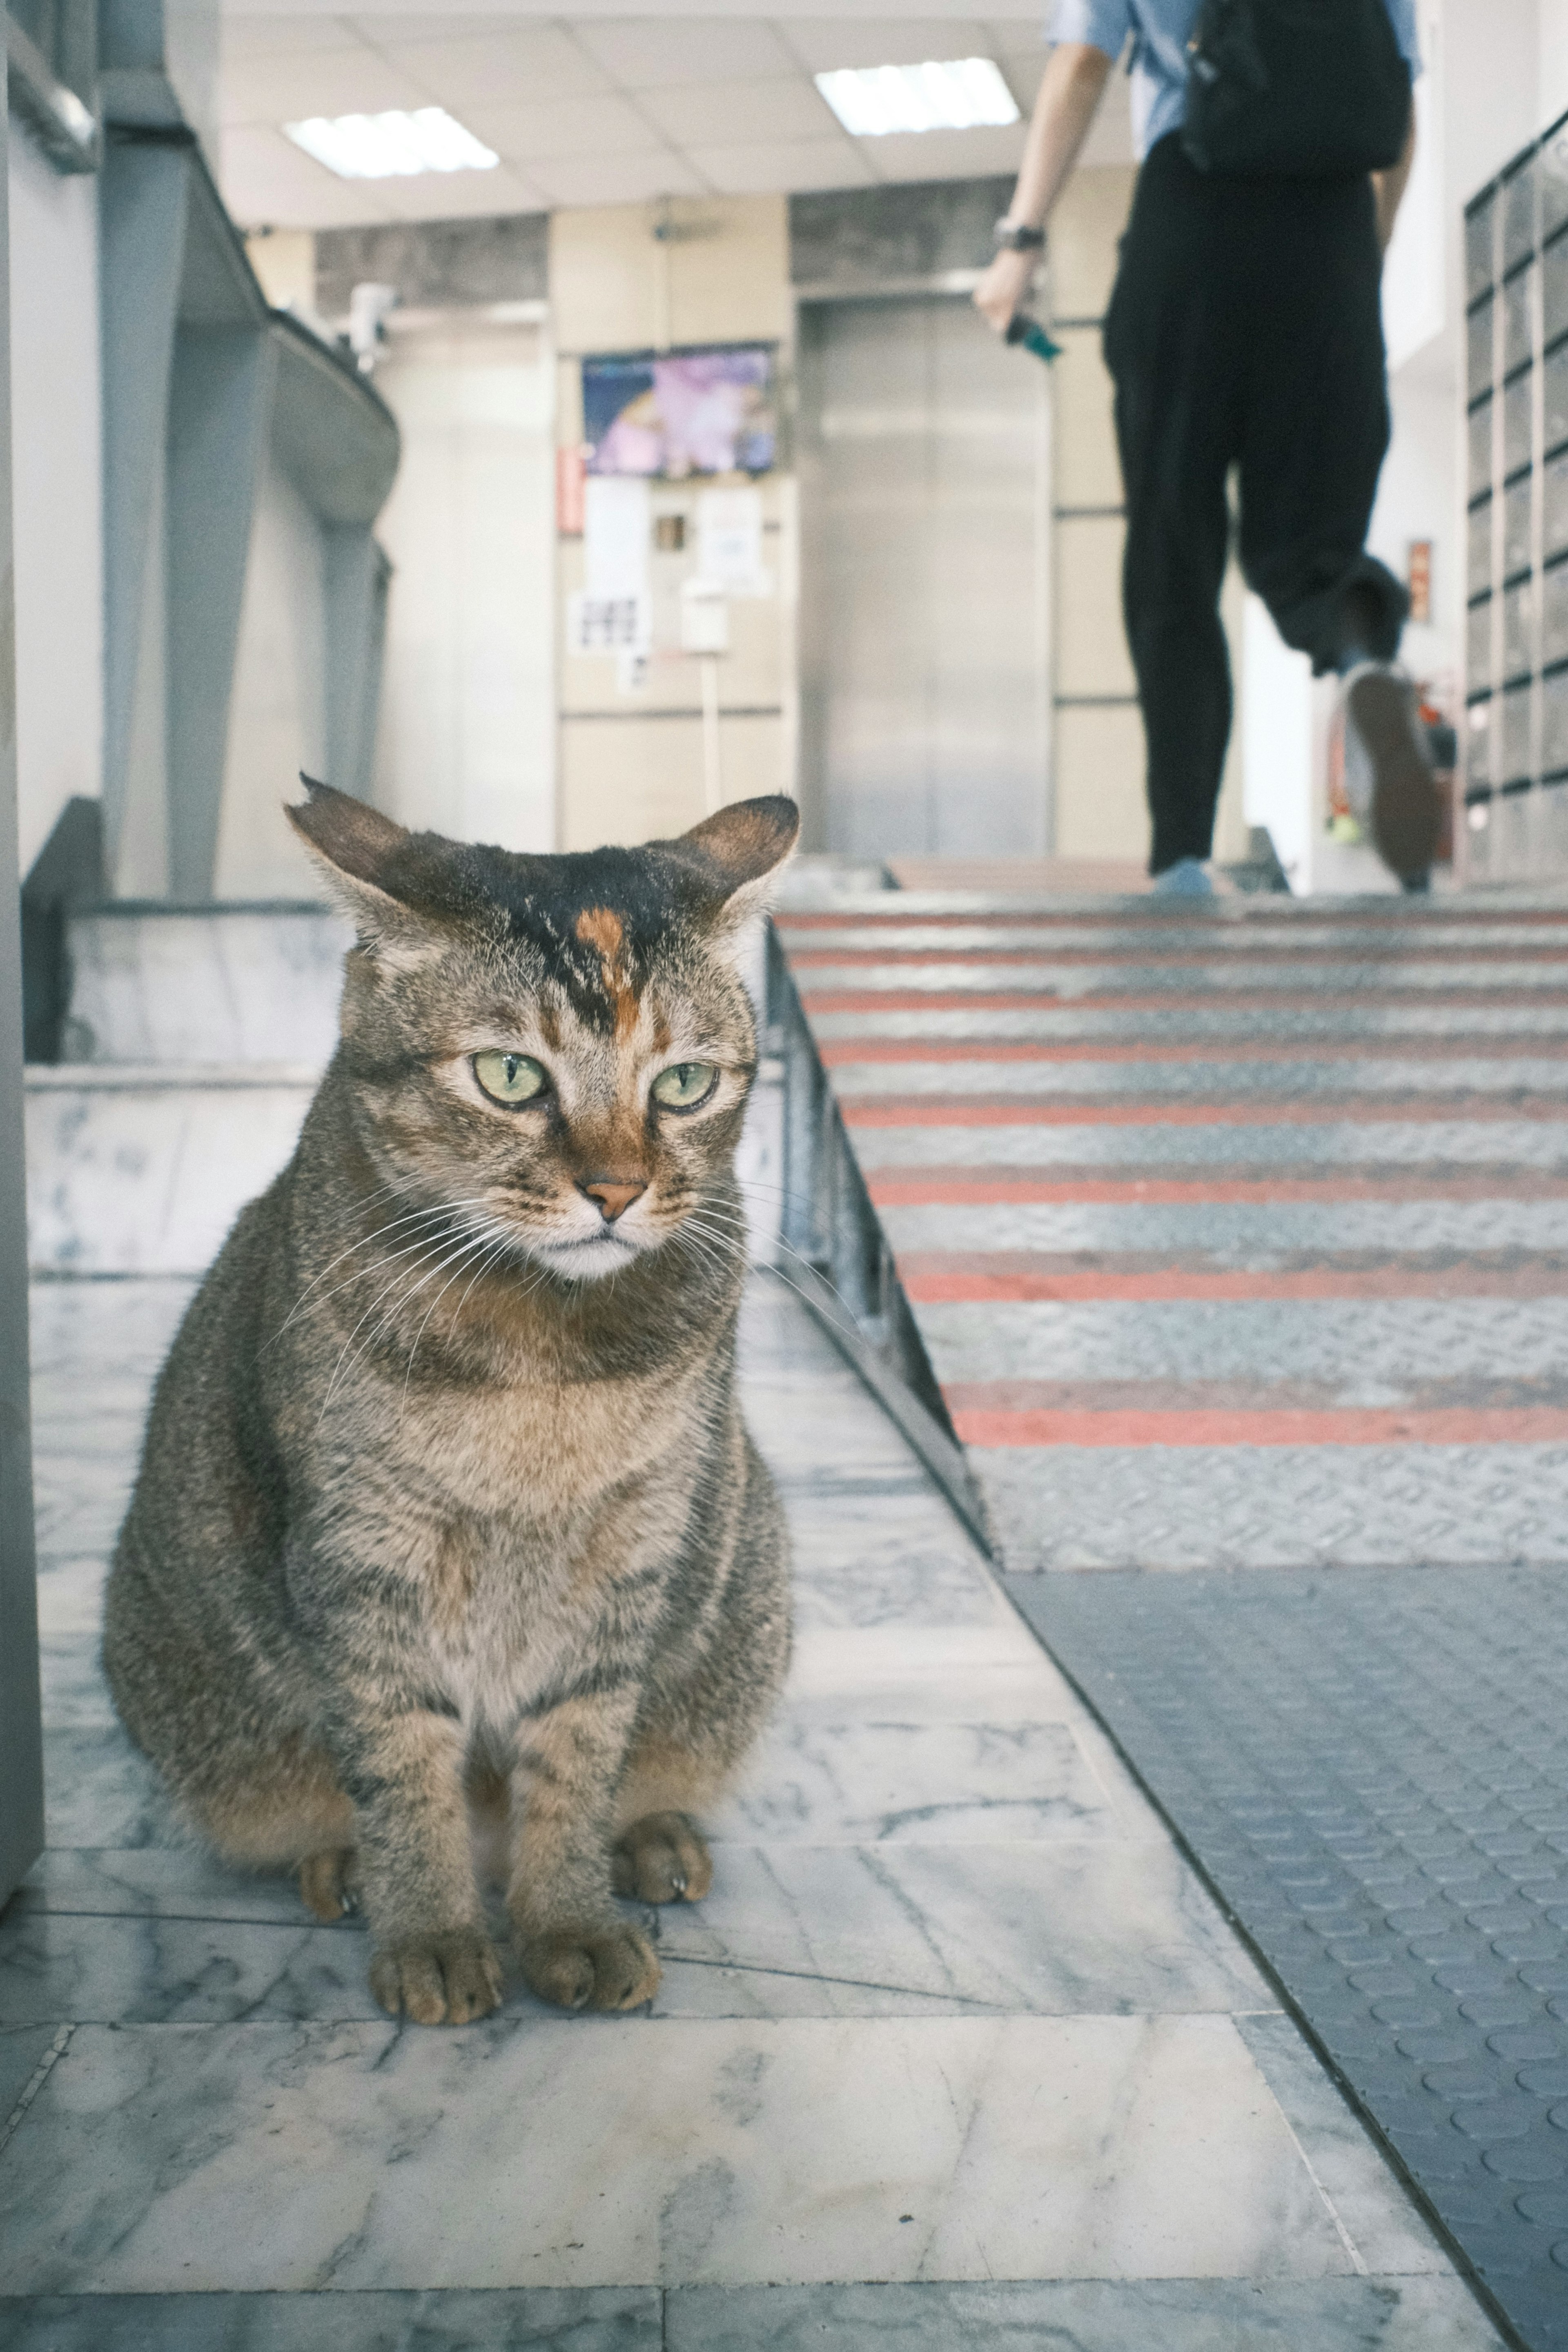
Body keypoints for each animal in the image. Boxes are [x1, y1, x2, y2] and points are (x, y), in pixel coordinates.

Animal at [101, 785, 799, 2022]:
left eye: (683, 1084)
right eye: (510, 1076)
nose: (617, 1189)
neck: (542, 1362)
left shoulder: (631, 1553)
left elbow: (578, 1756)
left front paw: (571, 1918)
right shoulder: (363, 1563)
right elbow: (399, 1765)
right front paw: (428, 1931)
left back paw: (652, 1839)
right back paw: (339, 1865)